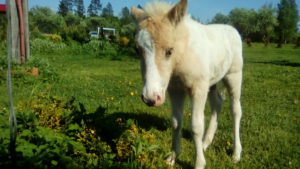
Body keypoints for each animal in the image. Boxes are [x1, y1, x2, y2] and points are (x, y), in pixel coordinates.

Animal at [132, 0, 244, 168]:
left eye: (169, 51)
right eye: (137, 50)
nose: (150, 98)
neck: (182, 54)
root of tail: (233, 30)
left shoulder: (198, 89)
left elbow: (196, 126)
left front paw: (199, 163)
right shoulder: (175, 90)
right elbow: (176, 122)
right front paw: (172, 158)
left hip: (233, 76)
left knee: (235, 110)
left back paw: (236, 153)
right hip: (211, 82)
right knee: (217, 103)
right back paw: (205, 143)